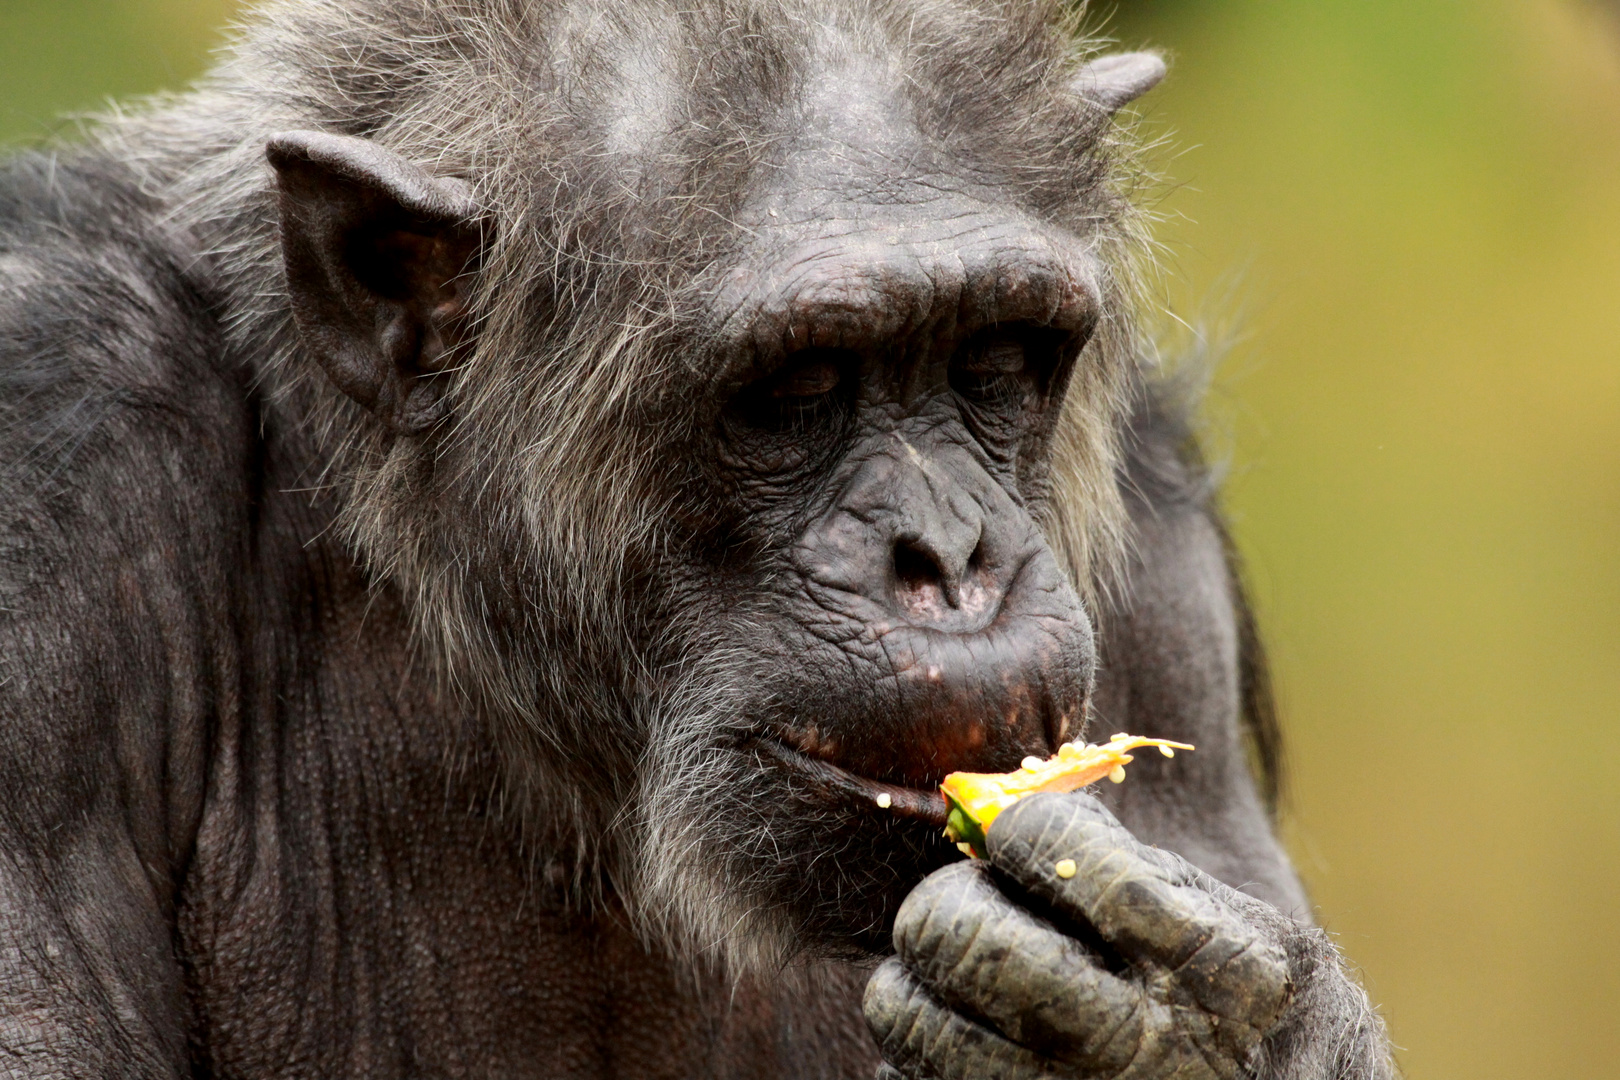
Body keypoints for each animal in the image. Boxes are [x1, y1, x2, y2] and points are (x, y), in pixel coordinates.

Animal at [0, 0, 1393, 1075]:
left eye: (995, 357)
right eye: (798, 387)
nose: (950, 558)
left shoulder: (1168, 586)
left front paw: (1188, 1026)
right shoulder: (52, 463)